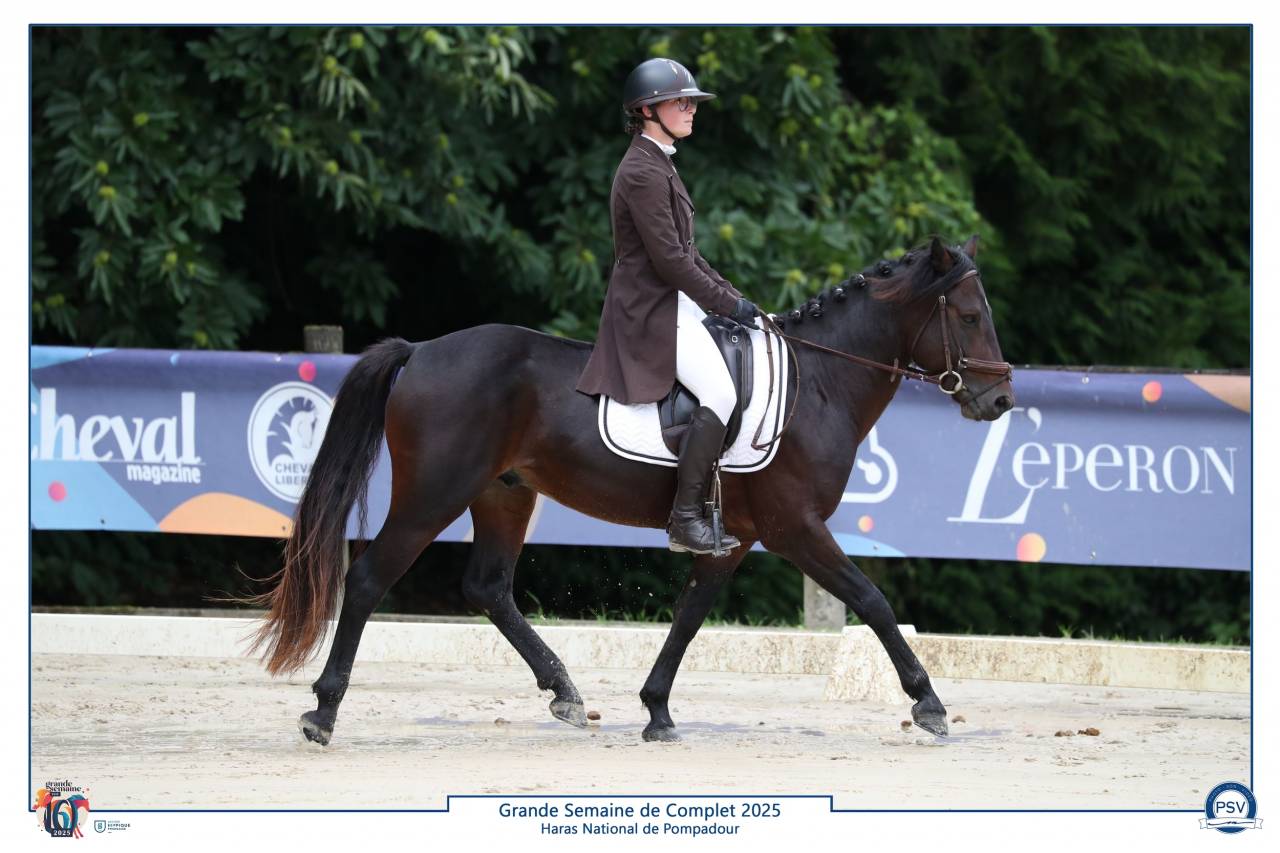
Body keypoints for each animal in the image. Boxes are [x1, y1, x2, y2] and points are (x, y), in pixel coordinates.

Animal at [246, 234, 1014, 746]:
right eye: (969, 316)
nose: (1000, 398)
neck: (819, 383)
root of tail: (421, 350)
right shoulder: (795, 526)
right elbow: (873, 602)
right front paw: (929, 705)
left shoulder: (735, 537)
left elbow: (689, 615)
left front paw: (657, 709)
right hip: (433, 493)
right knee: (370, 578)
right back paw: (323, 710)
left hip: (504, 493)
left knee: (488, 587)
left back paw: (563, 693)